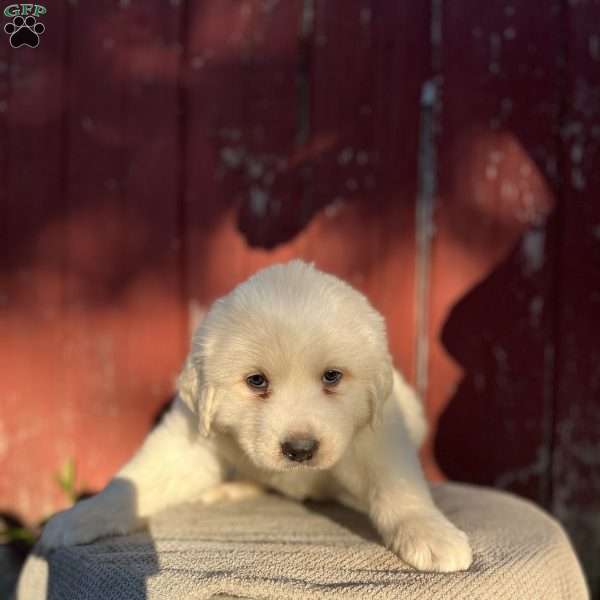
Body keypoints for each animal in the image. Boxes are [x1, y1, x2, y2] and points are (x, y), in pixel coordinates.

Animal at [42, 262, 474, 572]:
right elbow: (134, 481)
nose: (300, 450)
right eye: (256, 381)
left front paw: (430, 534)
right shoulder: (190, 440)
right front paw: (79, 517)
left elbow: (398, 488)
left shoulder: (377, 434)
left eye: (332, 376)